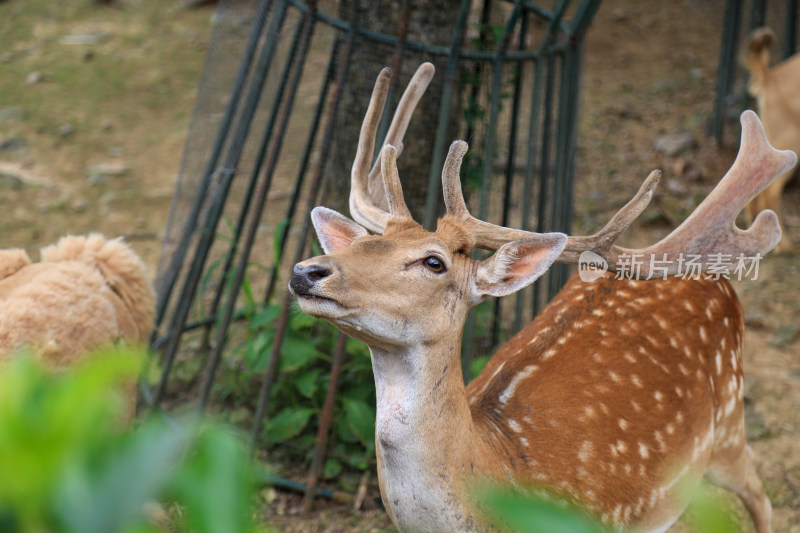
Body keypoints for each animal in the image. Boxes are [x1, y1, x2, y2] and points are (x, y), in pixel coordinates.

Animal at [290, 64, 792, 528]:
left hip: (729, 422)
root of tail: (712, 277)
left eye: (434, 262)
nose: (306, 271)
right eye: (363, 244)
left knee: (761, 495)